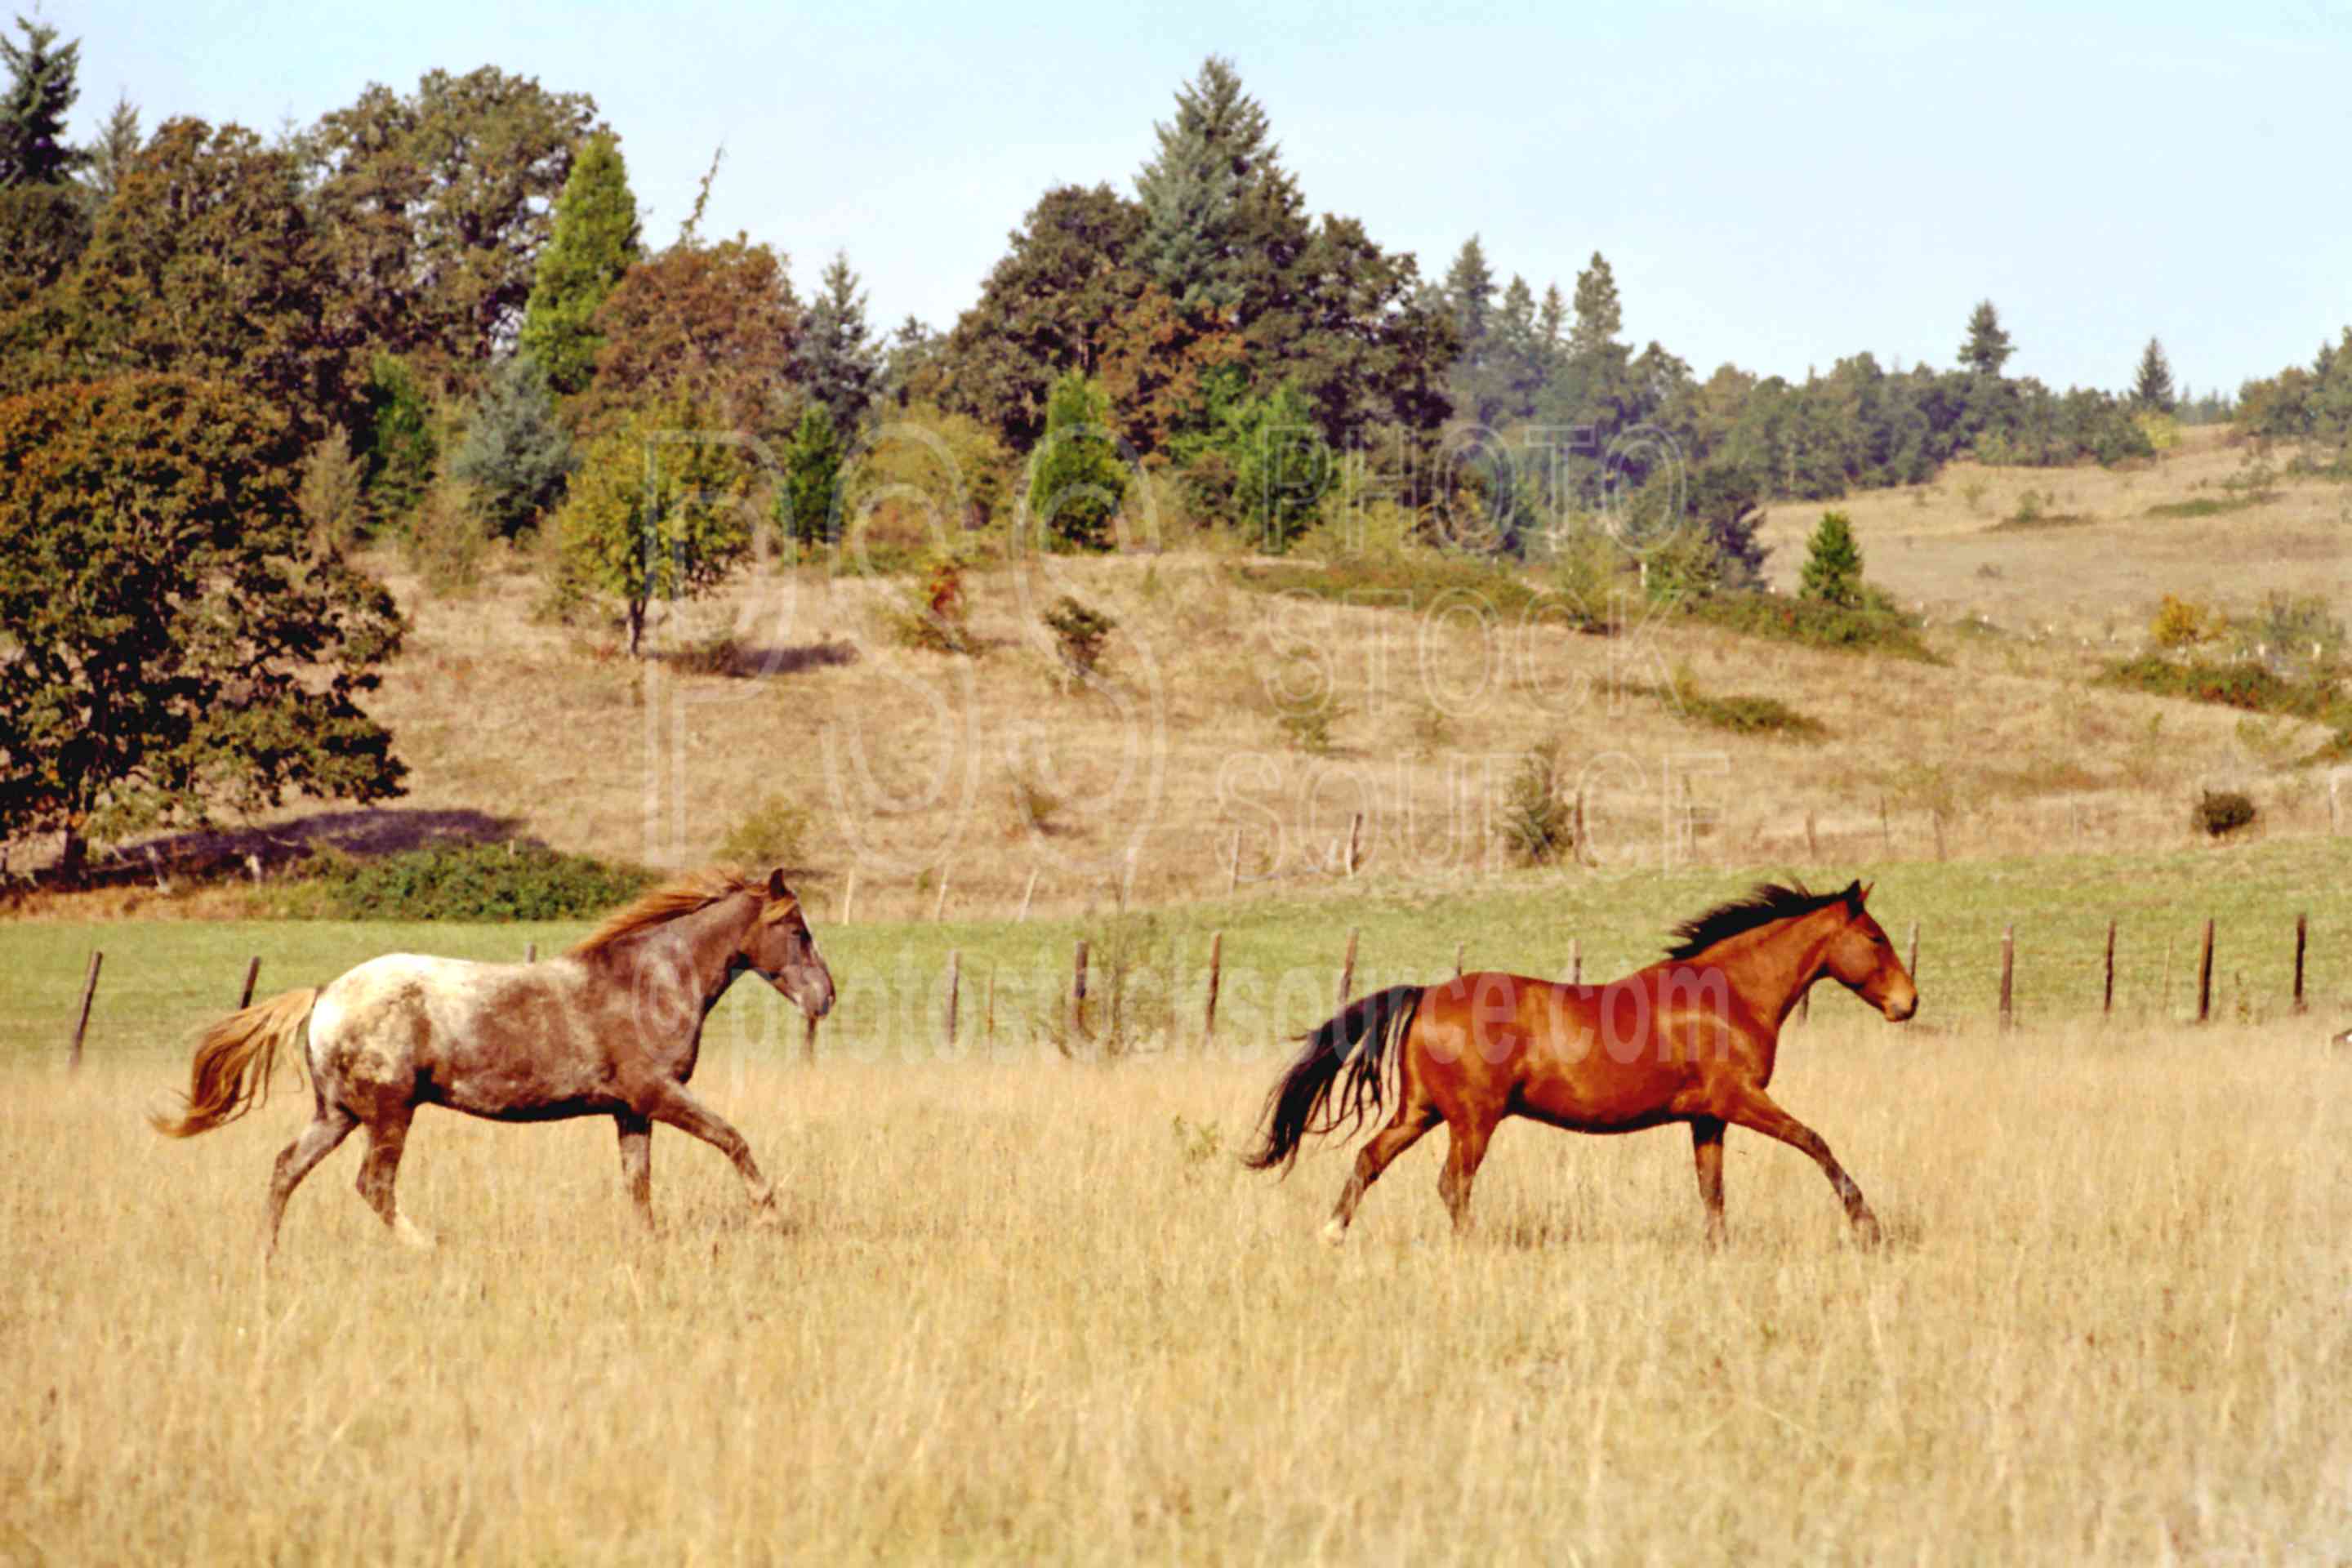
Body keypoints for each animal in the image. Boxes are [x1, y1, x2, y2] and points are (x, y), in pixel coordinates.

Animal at [156, 865, 837, 1259]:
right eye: (798, 930)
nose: (825, 998)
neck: (647, 985)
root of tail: (324, 995)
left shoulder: (629, 1111)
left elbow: (638, 1182)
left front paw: (651, 1243)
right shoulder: (658, 1094)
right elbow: (733, 1139)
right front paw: (770, 1216)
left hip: (338, 1114)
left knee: (285, 1169)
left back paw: (266, 1254)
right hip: (389, 1112)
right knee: (373, 1185)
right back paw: (427, 1246)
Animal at [1251, 889, 1909, 1241]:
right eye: (1876, 938)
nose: (1910, 1002)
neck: (1731, 994)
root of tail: (1428, 993)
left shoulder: (1706, 1118)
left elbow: (1712, 1190)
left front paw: (1718, 1250)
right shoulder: (1740, 1100)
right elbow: (1816, 1142)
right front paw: (1867, 1224)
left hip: (1421, 1112)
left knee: (1370, 1159)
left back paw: (1332, 1234)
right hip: (1473, 1120)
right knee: (1453, 1184)